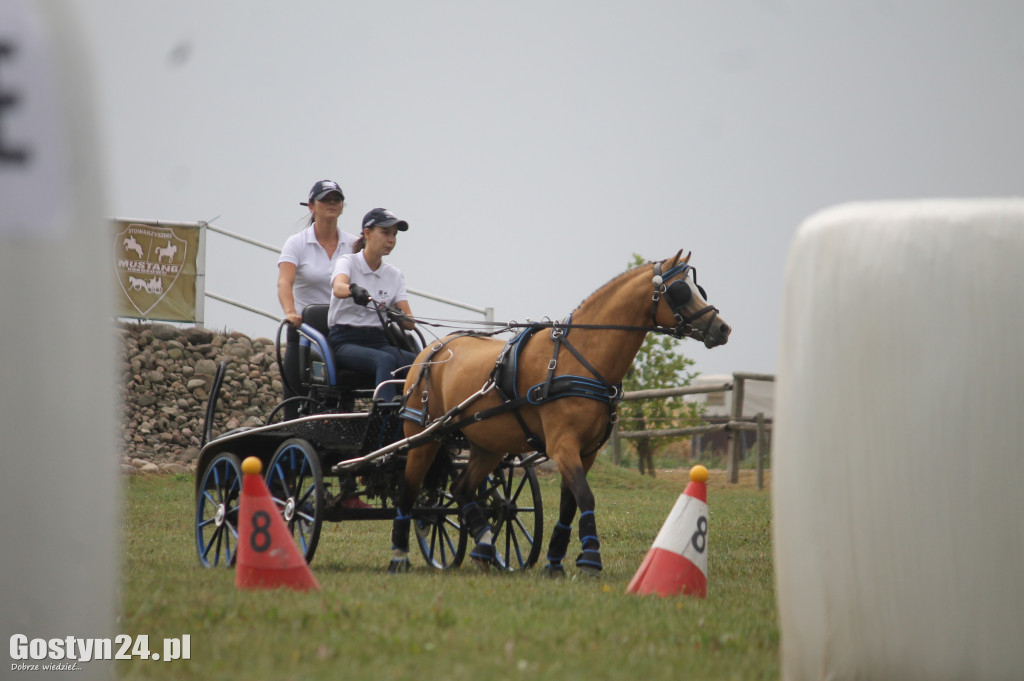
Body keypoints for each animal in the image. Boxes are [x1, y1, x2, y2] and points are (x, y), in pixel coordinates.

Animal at [387, 249, 733, 573]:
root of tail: (430, 351)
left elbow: (570, 503)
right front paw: (590, 558)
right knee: (409, 491)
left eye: (697, 287)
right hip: (423, 439)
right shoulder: (562, 445)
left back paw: (484, 547)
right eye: (680, 290)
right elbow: (585, 496)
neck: (579, 359)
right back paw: (400, 555)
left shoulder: (587, 451)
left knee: (461, 489)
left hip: (487, 445)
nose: (722, 328)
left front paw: (555, 559)